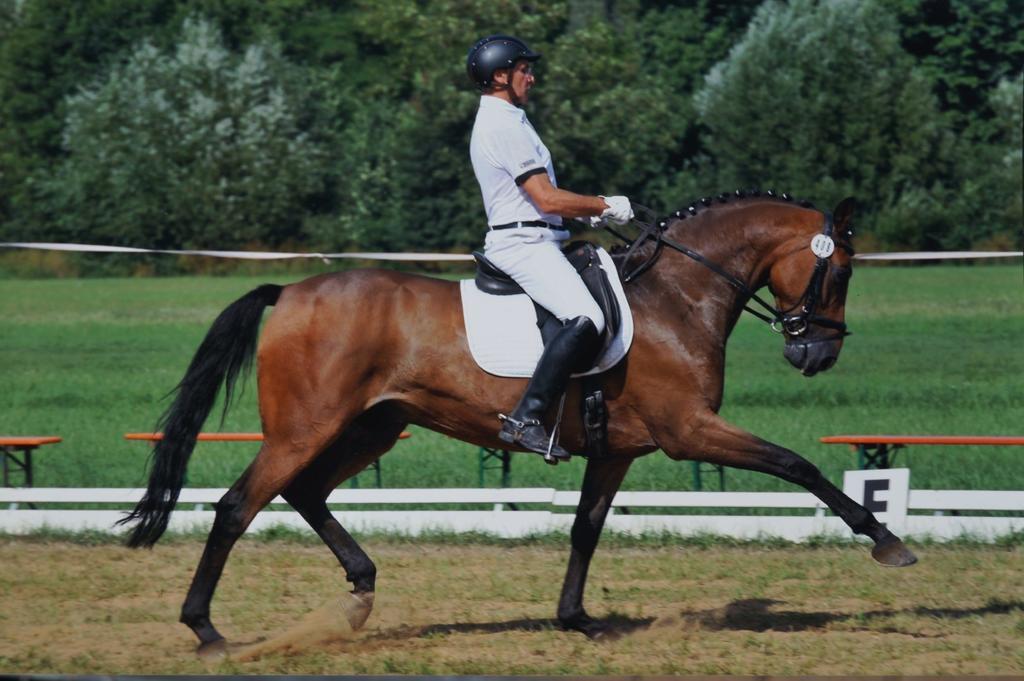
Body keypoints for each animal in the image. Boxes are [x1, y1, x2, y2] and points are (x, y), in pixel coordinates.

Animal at [121, 189, 921, 655]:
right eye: (841, 271)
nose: (816, 353)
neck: (677, 296)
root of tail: (289, 292)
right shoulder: (687, 430)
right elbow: (798, 463)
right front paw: (887, 540)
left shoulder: (618, 450)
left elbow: (585, 529)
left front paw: (576, 619)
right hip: (306, 427)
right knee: (237, 506)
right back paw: (207, 629)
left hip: (369, 426)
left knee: (304, 492)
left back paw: (360, 588)